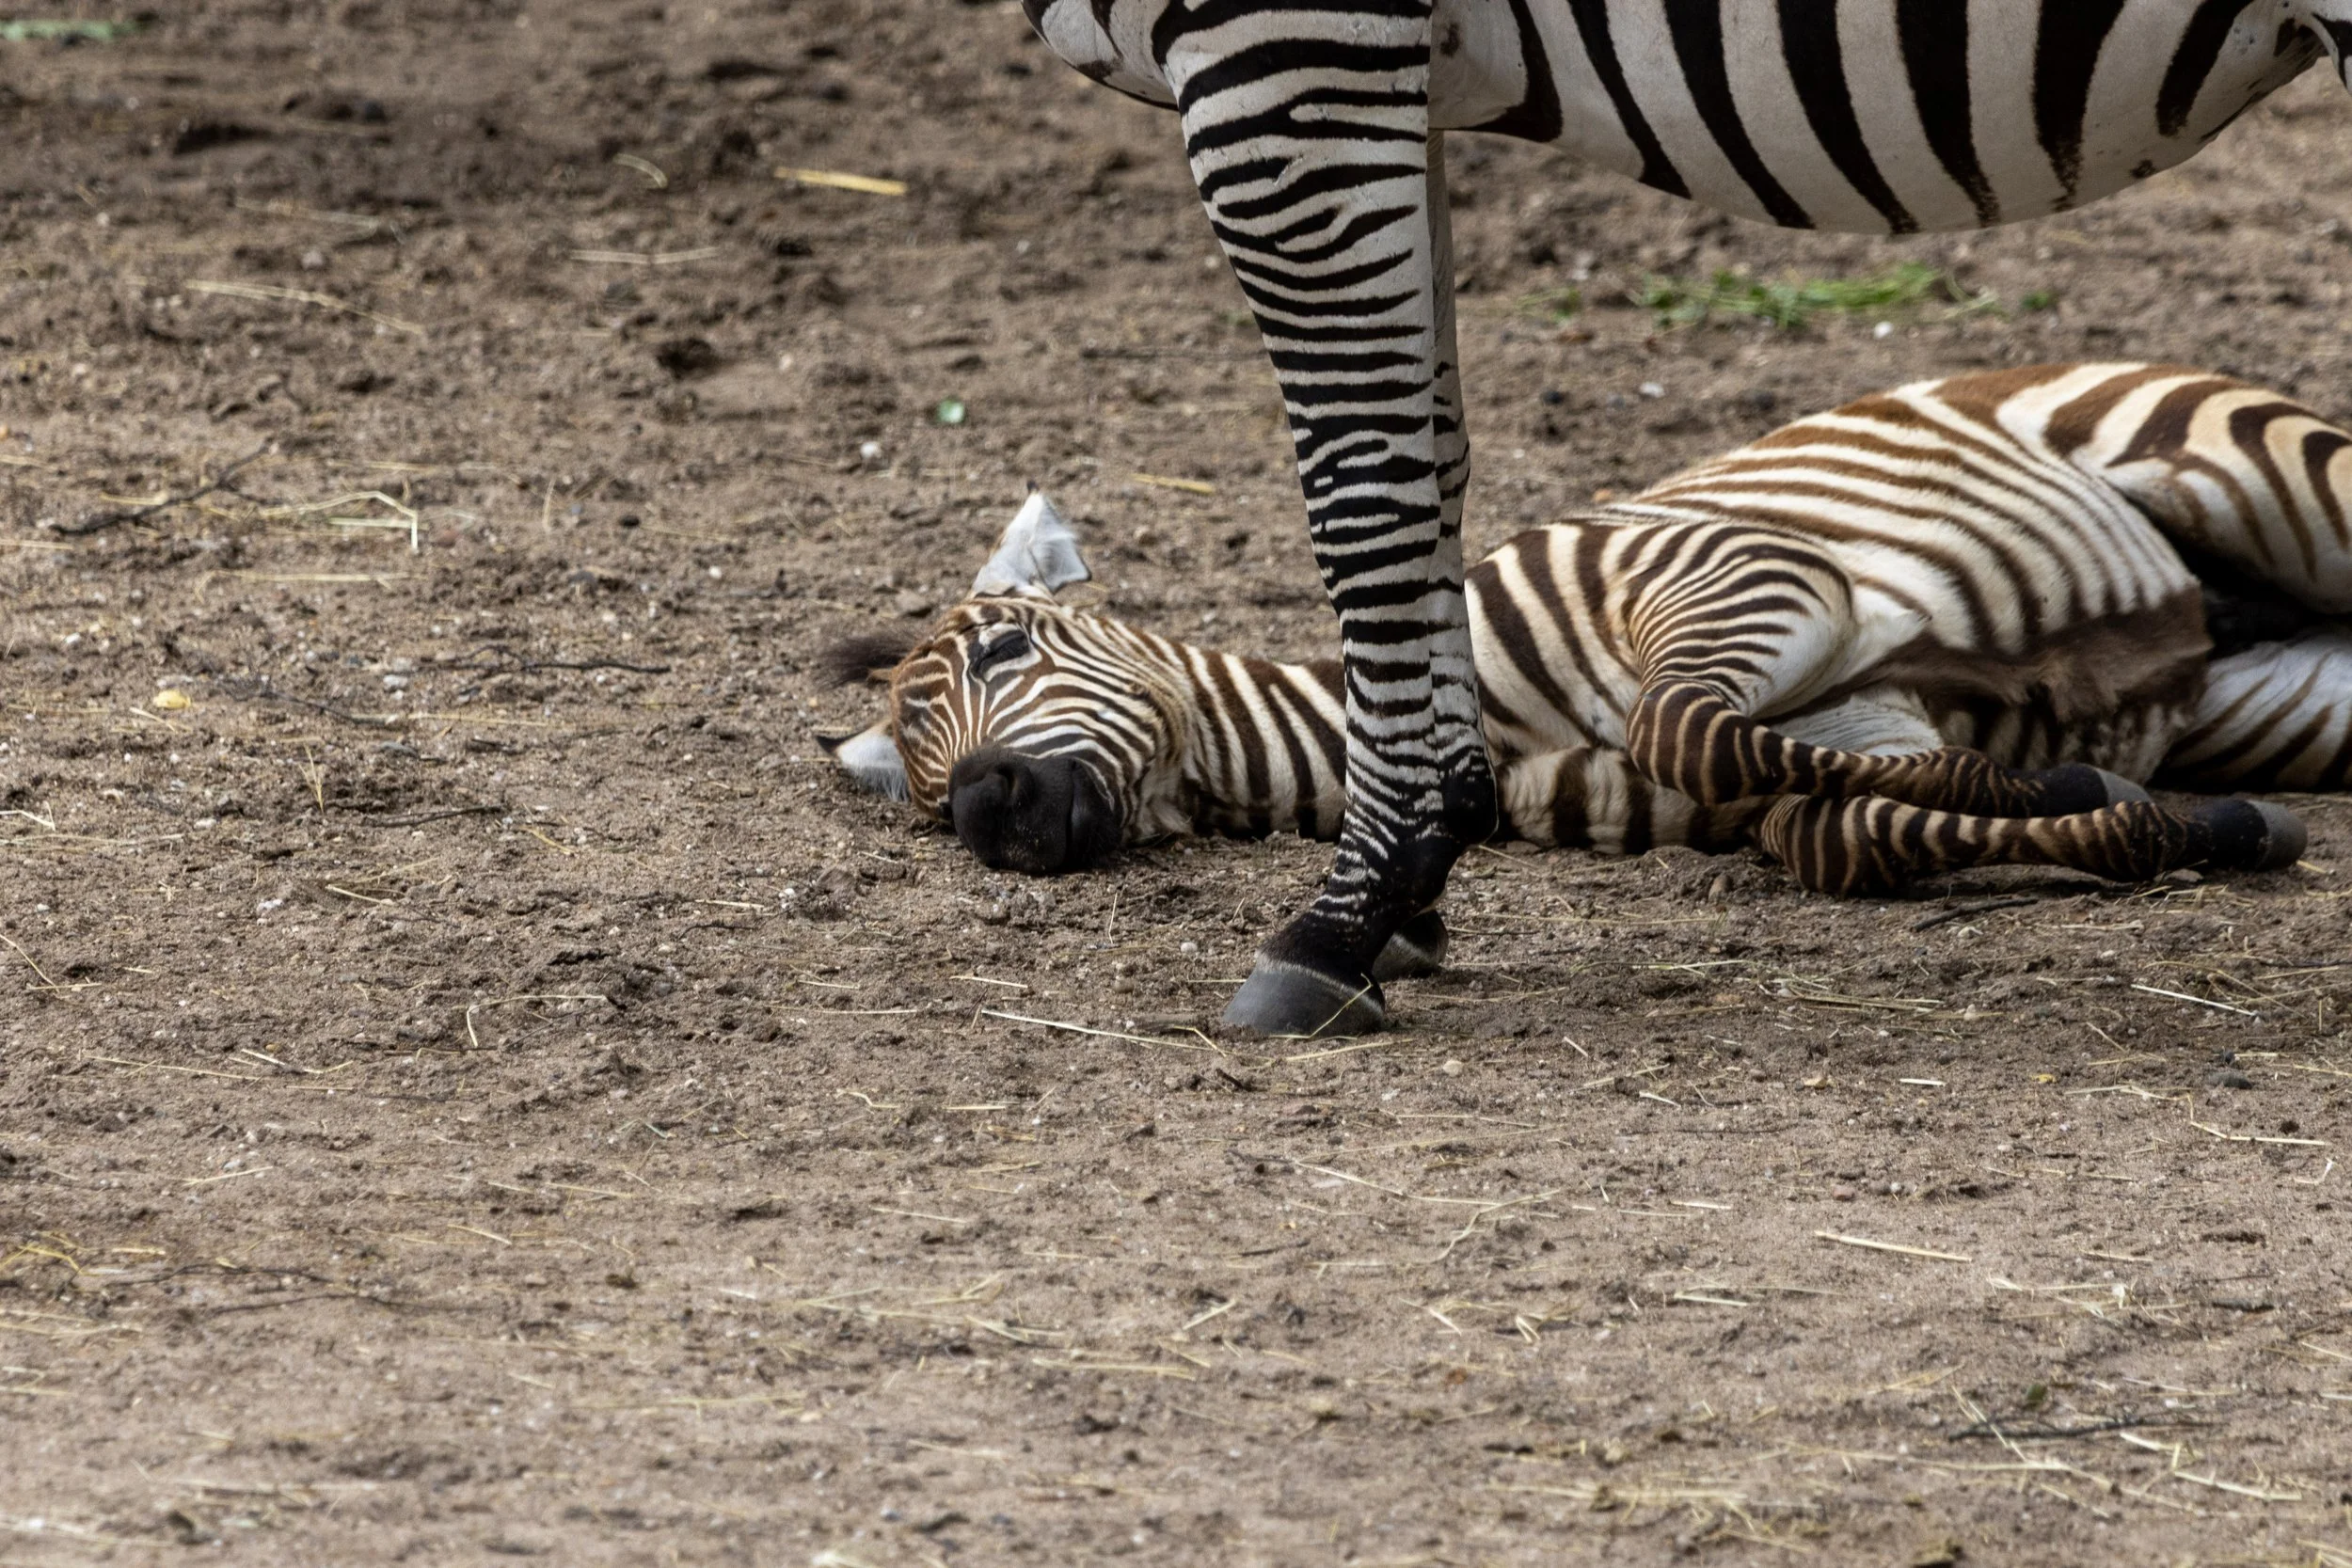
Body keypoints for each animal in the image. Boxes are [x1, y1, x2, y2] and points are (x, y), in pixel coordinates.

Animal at [828, 362, 2350, 1027]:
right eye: (925, 803)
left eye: (1003, 653)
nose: (988, 808)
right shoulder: (1846, 733)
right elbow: (1836, 821)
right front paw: (2148, 813)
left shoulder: (1738, 572)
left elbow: (1687, 723)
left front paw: (2086, 792)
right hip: (2286, 698)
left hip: (2259, 474)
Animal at [1004, 0, 2352, 1035]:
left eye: (1004, 646)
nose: (987, 811)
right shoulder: (1401, 83)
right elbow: (1436, 452)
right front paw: (1417, 877)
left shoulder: (1288, 53)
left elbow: (1365, 483)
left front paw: (1345, 915)